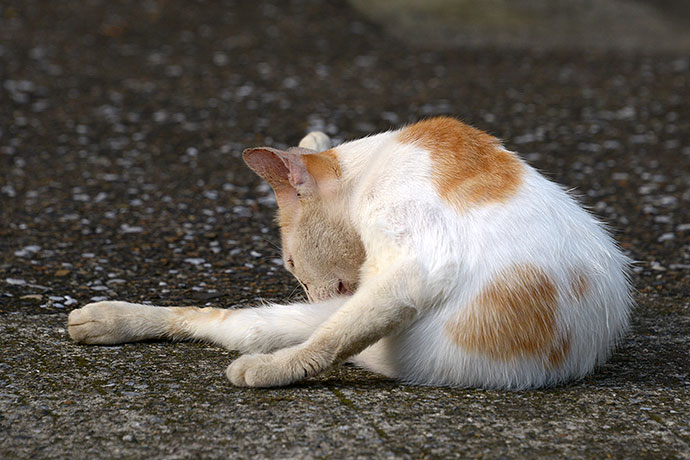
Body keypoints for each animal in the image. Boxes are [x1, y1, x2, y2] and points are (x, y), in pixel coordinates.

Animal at [67, 117, 632, 388]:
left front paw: (280, 370)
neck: (370, 167)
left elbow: (328, 342)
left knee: (248, 328)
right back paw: (103, 318)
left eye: (290, 264)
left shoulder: (412, 263)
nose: (305, 287)